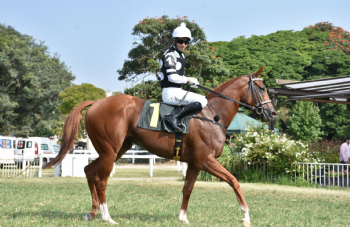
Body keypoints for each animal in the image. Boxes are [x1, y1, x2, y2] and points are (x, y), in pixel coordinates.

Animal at [45, 66, 278, 226]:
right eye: (262, 88)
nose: (273, 113)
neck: (211, 114)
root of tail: (96, 102)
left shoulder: (195, 163)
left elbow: (187, 189)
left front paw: (183, 218)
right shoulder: (206, 160)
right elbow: (234, 181)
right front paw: (246, 216)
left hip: (115, 150)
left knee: (89, 171)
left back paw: (92, 213)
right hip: (110, 151)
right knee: (101, 180)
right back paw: (106, 216)